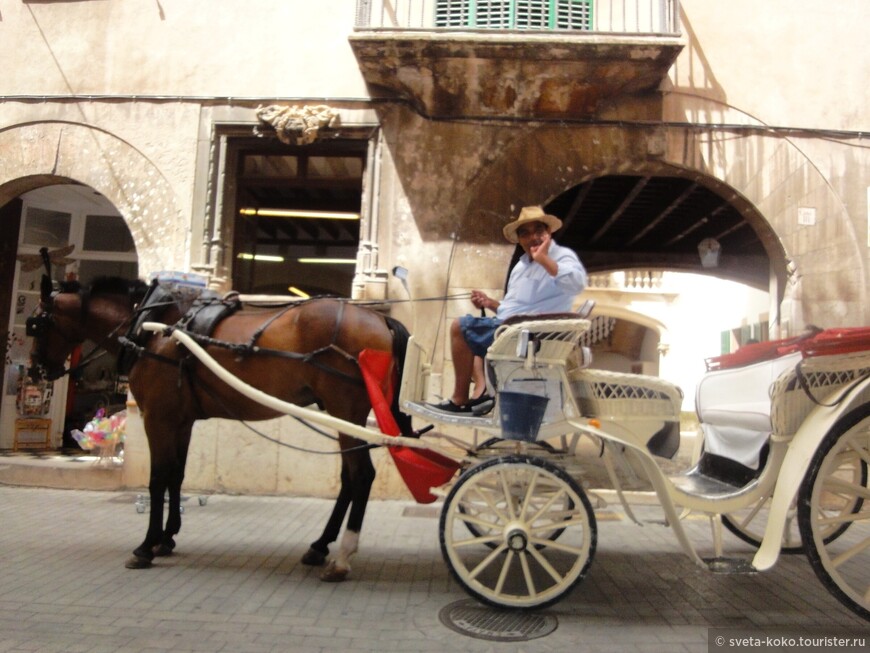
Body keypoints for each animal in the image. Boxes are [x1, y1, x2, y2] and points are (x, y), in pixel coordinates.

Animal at [29, 272, 418, 580]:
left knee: (361, 476)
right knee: (349, 479)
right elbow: (176, 476)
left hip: (345, 410)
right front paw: (167, 538)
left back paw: (341, 558)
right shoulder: (180, 420)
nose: (36, 371)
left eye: (37, 324)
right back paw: (320, 546)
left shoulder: (157, 417)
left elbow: (157, 479)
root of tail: (378, 319)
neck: (154, 329)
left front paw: (146, 545)